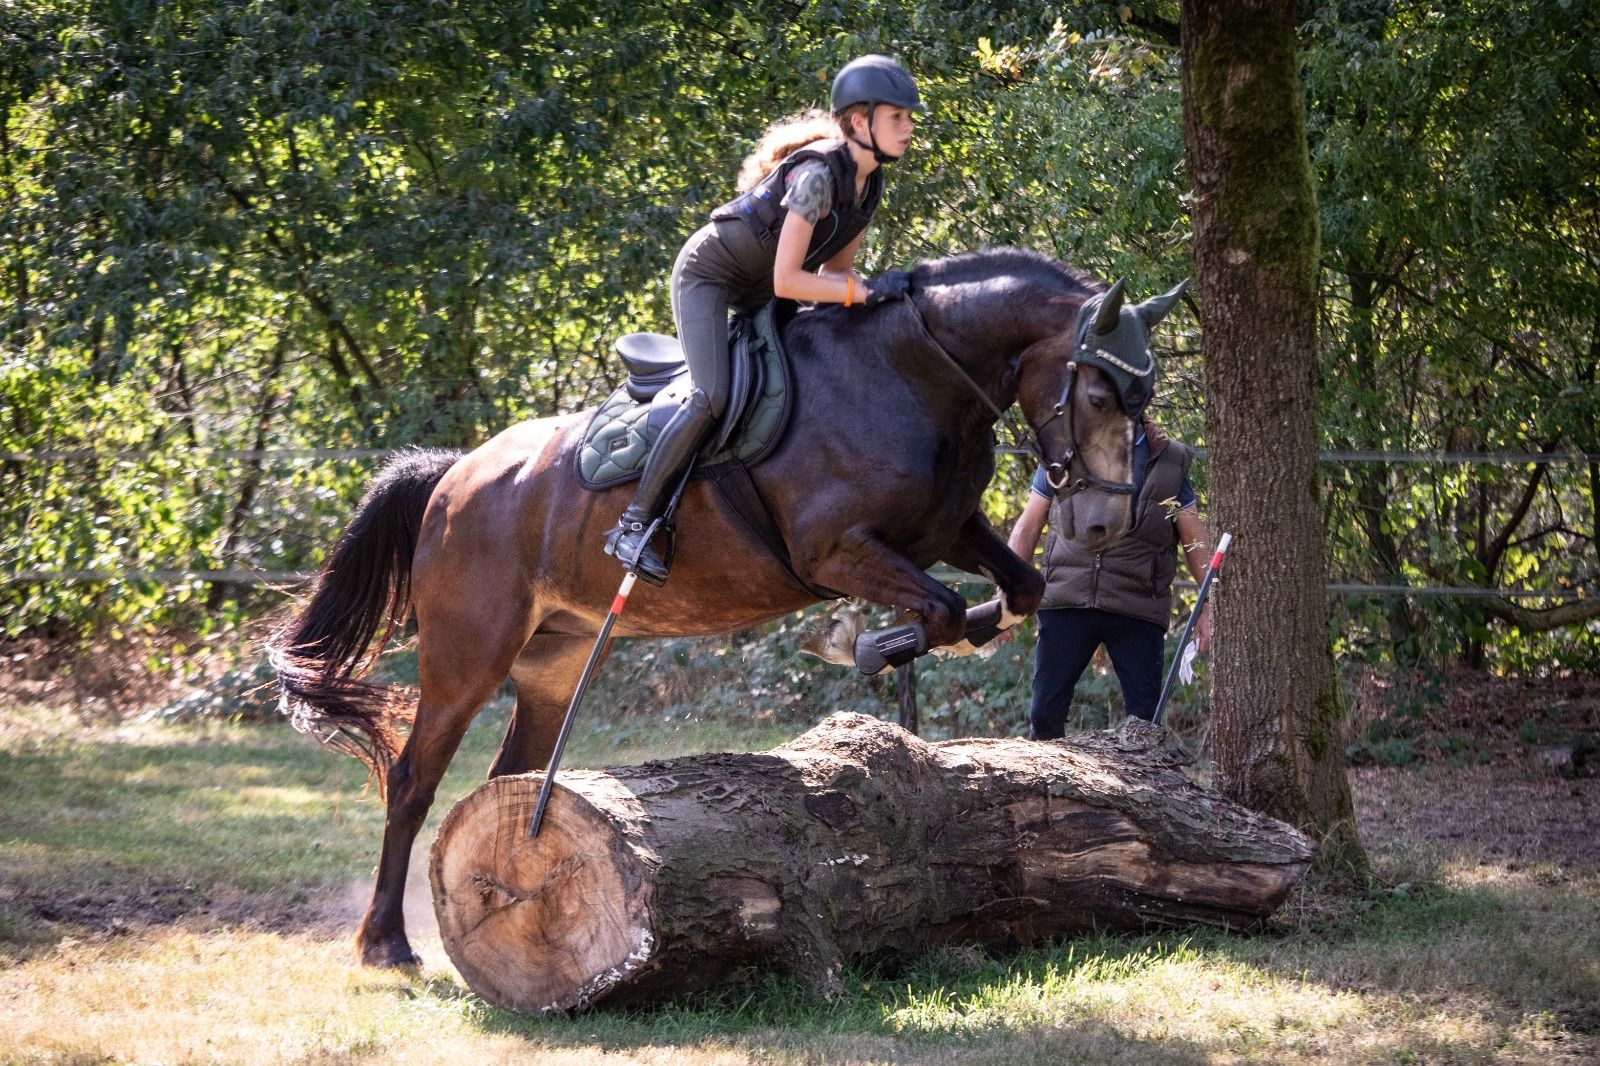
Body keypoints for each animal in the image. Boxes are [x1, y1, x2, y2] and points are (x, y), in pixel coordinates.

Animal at [268, 247, 1186, 968]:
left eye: (1138, 403)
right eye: (1098, 396)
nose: (1102, 526)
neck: (911, 374)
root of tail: (453, 474)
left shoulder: (945, 530)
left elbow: (1013, 592)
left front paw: (926, 638)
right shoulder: (836, 550)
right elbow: (941, 610)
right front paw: (862, 642)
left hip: (554, 662)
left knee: (505, 776)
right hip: (468, 653)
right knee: (413, 778)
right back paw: (386, 943)